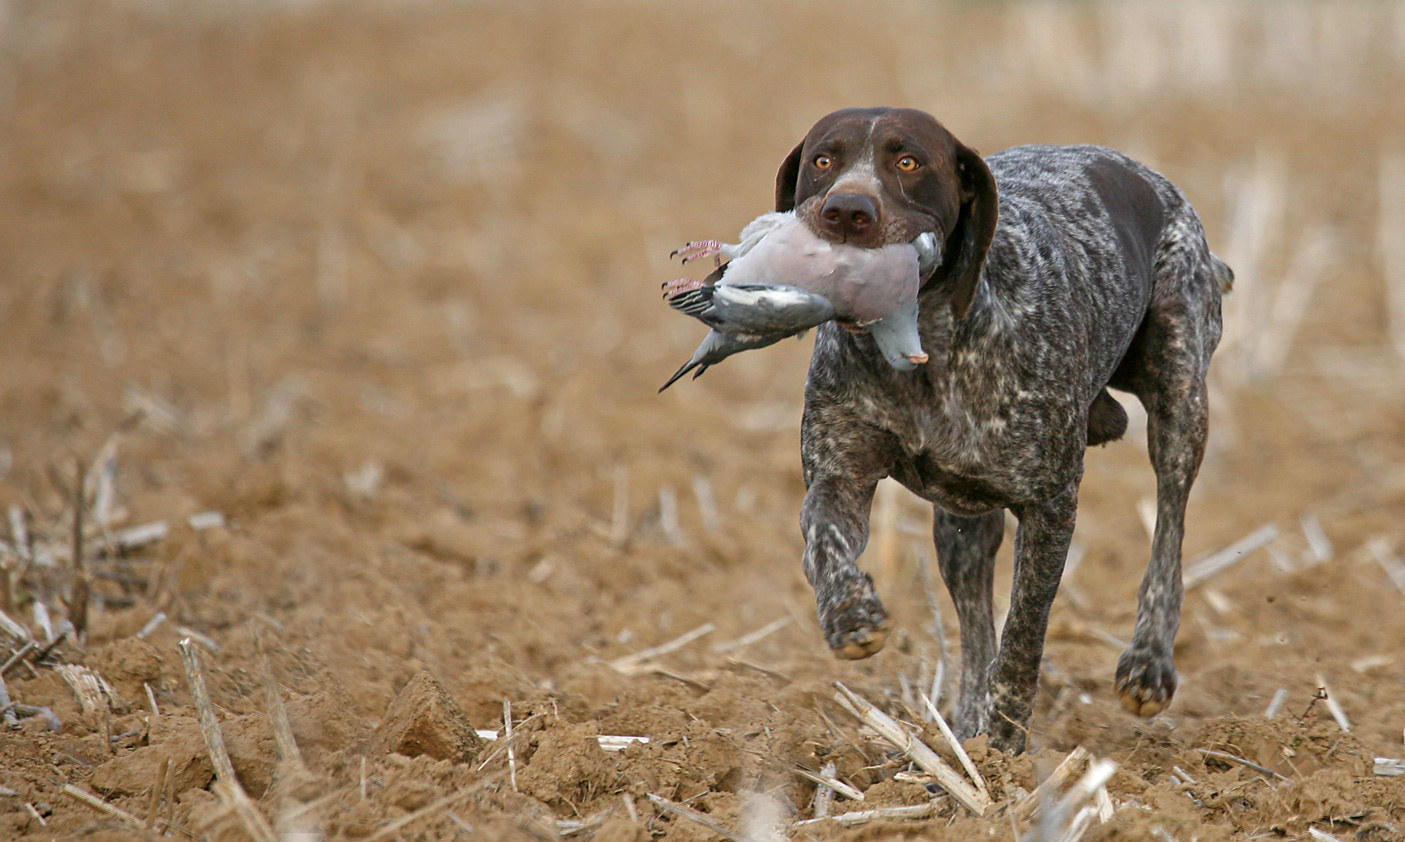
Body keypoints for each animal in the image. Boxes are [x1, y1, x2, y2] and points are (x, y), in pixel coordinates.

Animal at [775, 108, 1225, 753]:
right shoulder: (841, 476)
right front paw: (849, 615)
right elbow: (822, 536)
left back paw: (1147, 662)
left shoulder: (1051, 506)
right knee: (973, 625)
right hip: (961, 526)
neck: (925, 348)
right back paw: (962, 736)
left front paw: (1005, 748)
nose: (847, 210)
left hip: (1179, 394)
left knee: (1169, 523)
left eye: (908, 161)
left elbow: (1023, 634)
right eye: (823, 160)